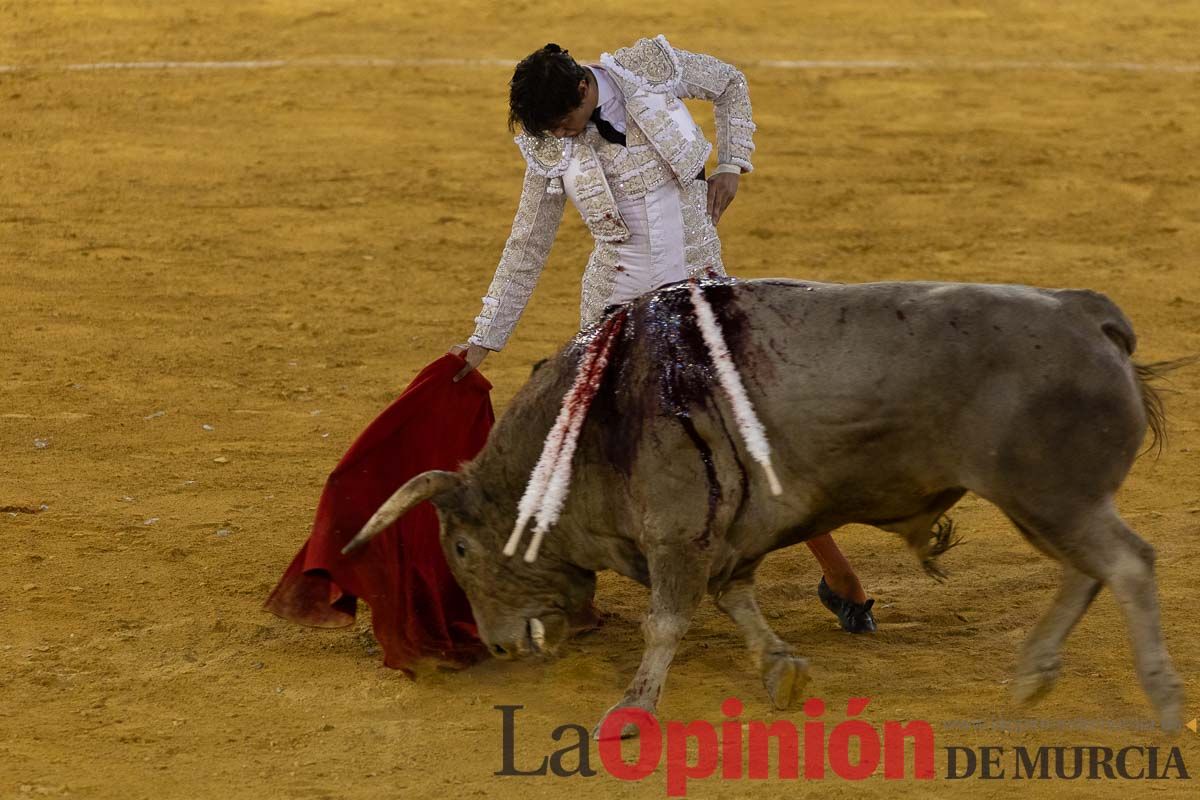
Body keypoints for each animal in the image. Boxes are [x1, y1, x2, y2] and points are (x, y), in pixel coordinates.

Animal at [343, 278, 1185, 734]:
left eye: (459, 548)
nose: (499, 643)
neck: (597, 415)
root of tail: (1085, 313)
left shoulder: (677, 534)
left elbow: (668, 619)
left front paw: (632, 710)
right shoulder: (726, 536)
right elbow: (735, 599)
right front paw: (781, 668)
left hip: (1047, 494)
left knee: (1125, 564)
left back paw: (1164, 700)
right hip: (1050, 501)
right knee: (1087, 571)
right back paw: (1036, 672)